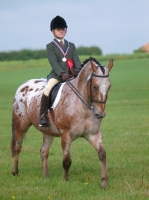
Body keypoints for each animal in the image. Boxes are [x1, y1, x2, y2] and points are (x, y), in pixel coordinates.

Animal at [11, 57, 113, 188]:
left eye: (109, 86)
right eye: (95, 87)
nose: (100, 113)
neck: (82, 106)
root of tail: (23, 85)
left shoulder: (93, 134)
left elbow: (102, 154)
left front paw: (104, 182)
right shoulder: (66, 135)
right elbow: (67, 161)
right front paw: (65, 180)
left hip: (47, 131)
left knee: (44, 151)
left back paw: (45, 176)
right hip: (21, 125)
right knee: (17, 147)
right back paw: (15, 172)